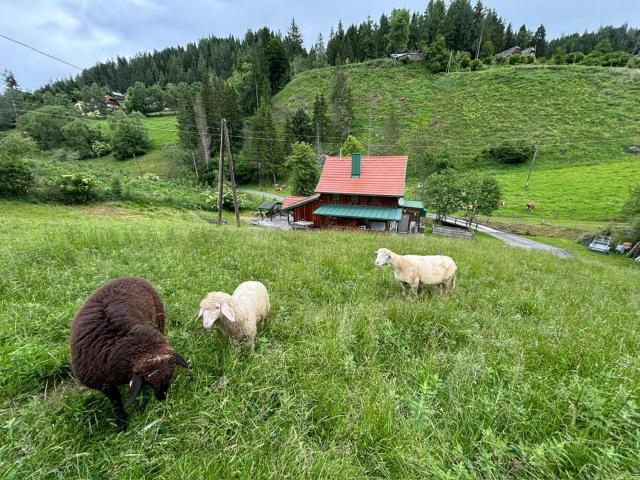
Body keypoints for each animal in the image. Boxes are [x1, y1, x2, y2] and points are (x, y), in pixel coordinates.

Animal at [70, 276, 190, 430]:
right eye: (148, 382)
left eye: (170, 376)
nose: (162, 399)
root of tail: (127, 277)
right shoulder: (104, 384)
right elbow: (116, 401)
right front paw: (122, 424)